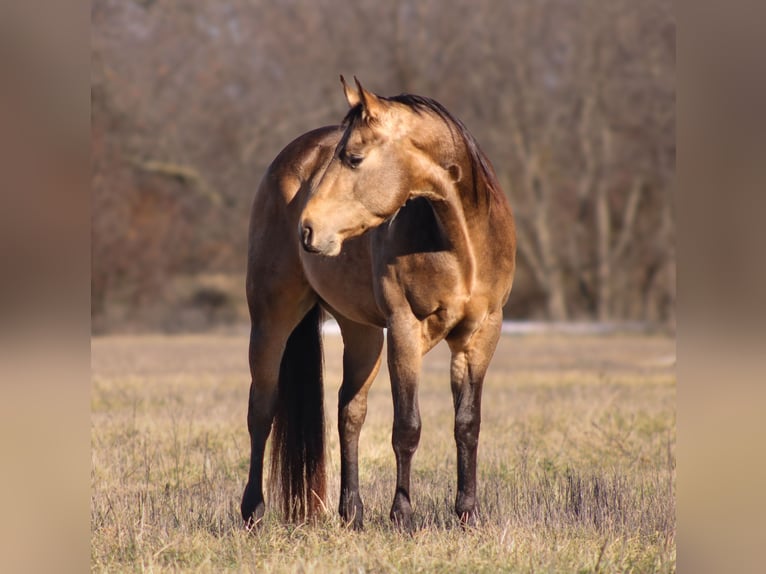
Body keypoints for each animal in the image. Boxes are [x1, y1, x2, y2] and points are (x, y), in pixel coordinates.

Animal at [240, 77, 516, 536]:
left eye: (353, 158)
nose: (307, 229)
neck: (461, 245)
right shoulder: (404, 329)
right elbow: (407, 426)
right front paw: (403, 515)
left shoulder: (481, 336)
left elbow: (467, 425)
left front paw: (468, 514)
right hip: (272, 318)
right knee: (261, 410)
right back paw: (252, 512)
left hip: (362, 332)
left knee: (349, 411)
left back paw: (352, 512)